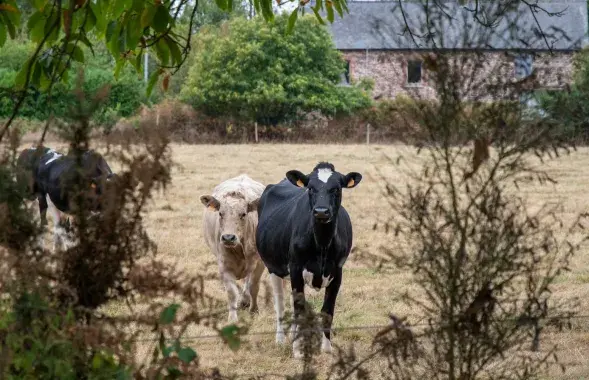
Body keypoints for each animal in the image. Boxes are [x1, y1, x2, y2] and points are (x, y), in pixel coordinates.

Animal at [202, 174, 266, 322]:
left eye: (243, 214)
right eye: (220, 213)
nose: (228, 237)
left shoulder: (260, 263)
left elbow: (254, 286)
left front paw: (254, 310)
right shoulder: (224, 265)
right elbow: (232, 293)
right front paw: (232, 318)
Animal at [255, 162, 360, 358]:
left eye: (336, 188)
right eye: (311, 188)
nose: (321, 211)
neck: (322, 244)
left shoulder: (338, 271)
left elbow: (327, 311)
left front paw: (327, 348)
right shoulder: (295, 268)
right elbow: (299, 310)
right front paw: (298, 351)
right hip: (274, 268)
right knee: (280, 304)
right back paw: (281, 339)